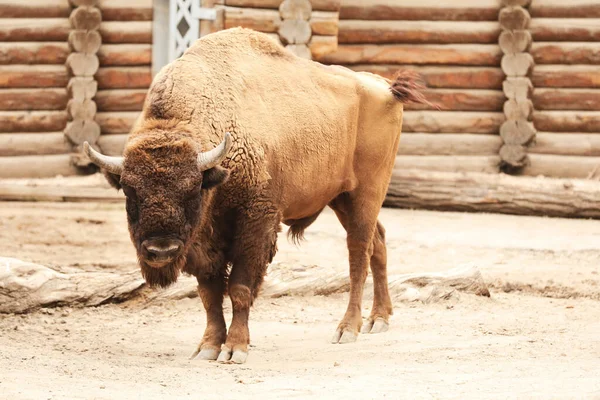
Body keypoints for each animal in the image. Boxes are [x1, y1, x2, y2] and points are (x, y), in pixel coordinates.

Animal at [83, 29, 432, 364]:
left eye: (192, 189)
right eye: (130, 191)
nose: (161, 250)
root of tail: (384, 87)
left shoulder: (256, 221)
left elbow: (239, 287)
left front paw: (235, 349)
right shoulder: (203, 241)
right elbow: (209, 292)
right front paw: (208, 347)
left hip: (365, 193)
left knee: (358, 253)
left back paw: (348, 329)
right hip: (342, 198)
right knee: (379, 243)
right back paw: (379, 319)